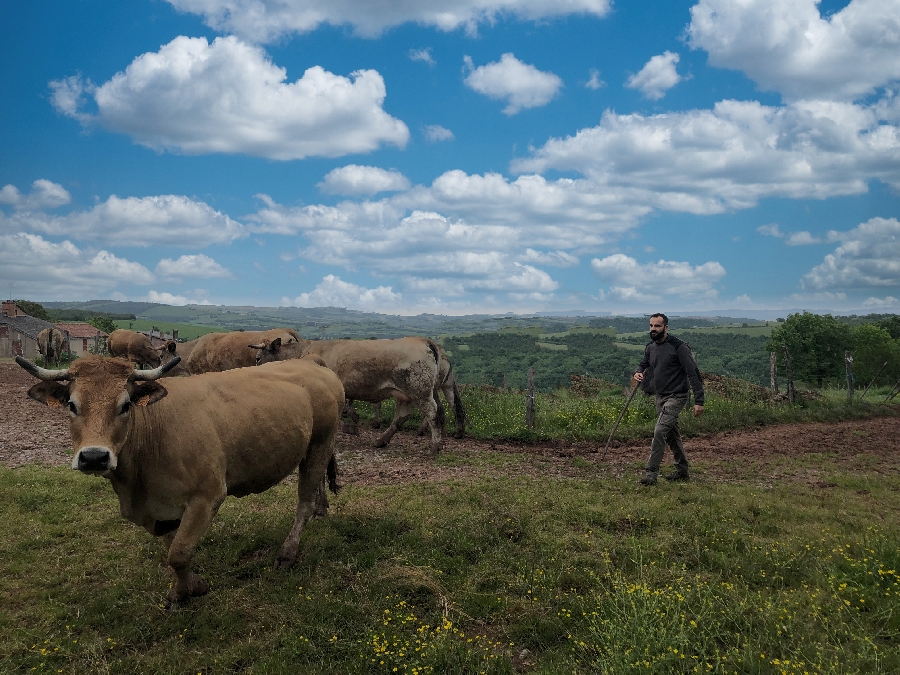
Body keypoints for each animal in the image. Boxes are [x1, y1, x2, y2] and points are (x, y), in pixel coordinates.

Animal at [14, 354, 344, 608]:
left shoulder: (207, 496)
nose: (94, 457)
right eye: (72, 404)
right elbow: (172, 546)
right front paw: (187, 587)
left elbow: (179, 552)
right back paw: (321, 509)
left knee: (303, 502)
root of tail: (309, 361)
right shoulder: (159, 511)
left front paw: (188, 591)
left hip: (320, 442)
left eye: (125, 405)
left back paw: (288, 553)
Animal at [253, 336, 442, 454]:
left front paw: (349, 427)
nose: (255, 368)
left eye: (258, 357)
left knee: (433, 413)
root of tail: (421, 340)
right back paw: (381, 440)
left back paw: (435, 446)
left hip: (419, 390)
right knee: (401, 417)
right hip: (404, 394)